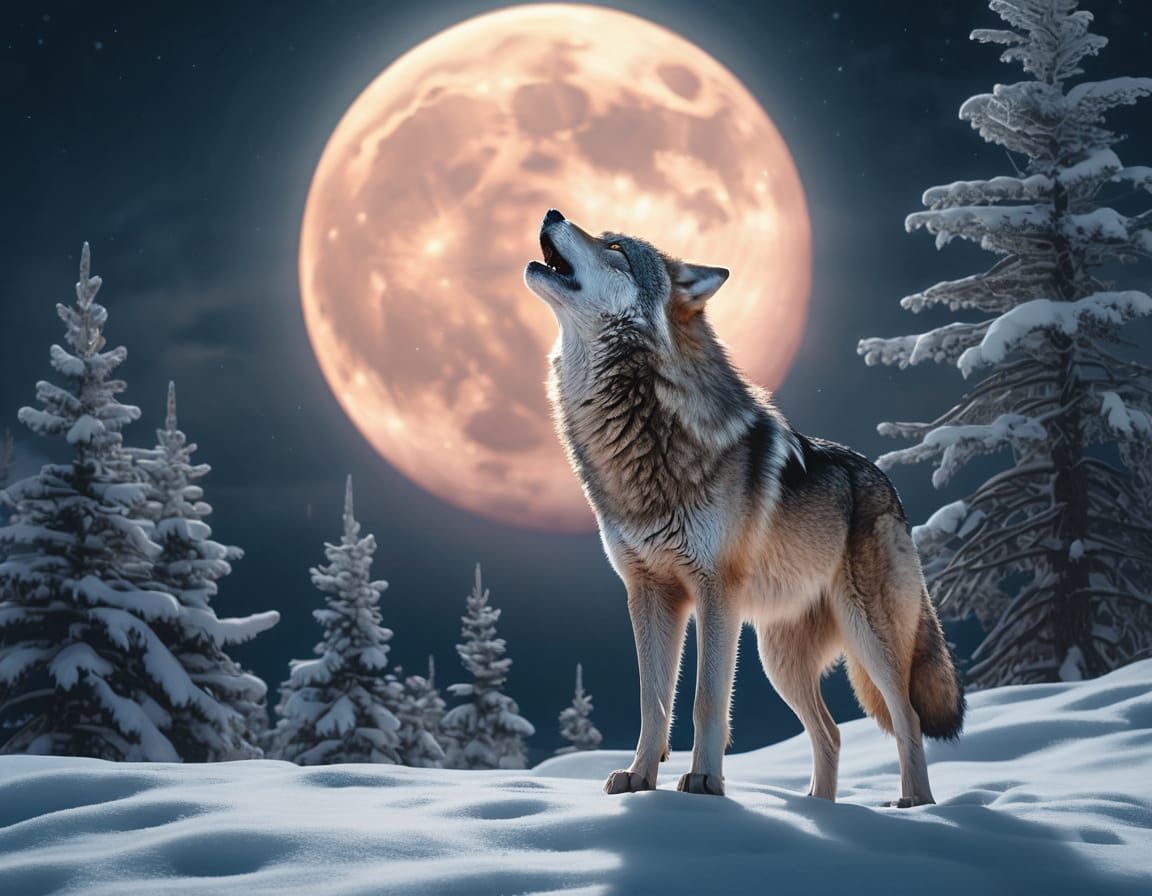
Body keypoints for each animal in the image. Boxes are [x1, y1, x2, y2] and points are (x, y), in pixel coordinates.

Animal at [523, 209, 964, 806]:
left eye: (615, 247)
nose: (552, 212)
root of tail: (887, 485)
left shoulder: (715, 590)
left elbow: (706, 699)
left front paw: (704, 783)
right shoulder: (649, 592)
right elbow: (653, 702)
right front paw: (639, 780)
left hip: (869, 638)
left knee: (908, 719)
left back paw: (915, 804)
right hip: (777, 658)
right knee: (830, 733)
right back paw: (819, 808)